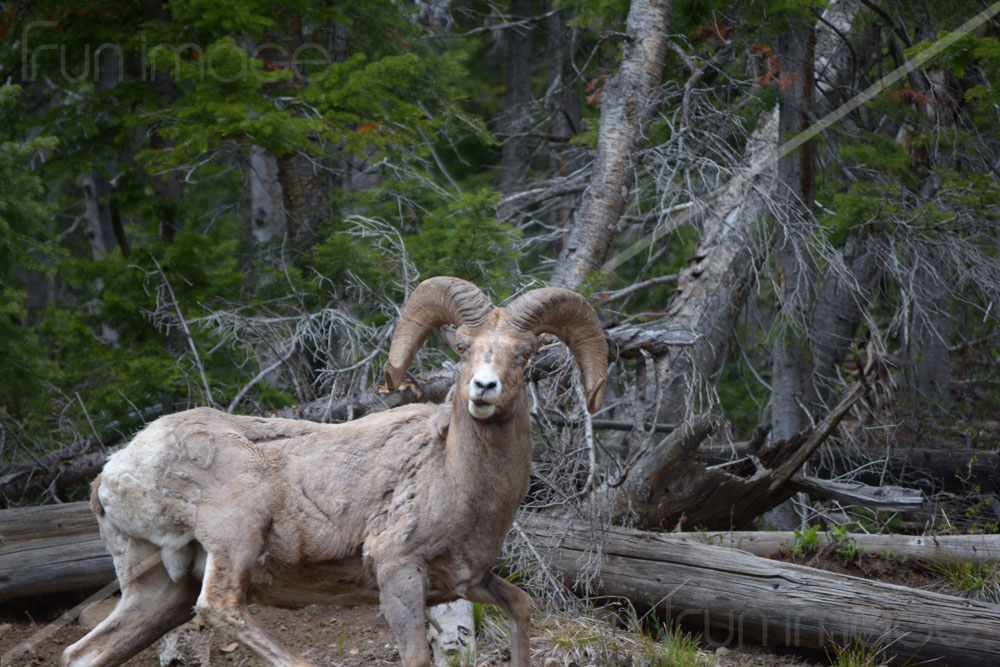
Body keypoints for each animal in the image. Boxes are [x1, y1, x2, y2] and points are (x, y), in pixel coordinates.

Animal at [66, 276, 608, 667]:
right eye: (463, 348)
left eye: (524, 353)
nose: (483, 388)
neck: (455, 476)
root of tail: (112, 472)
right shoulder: (399, 574)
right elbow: (416, 656)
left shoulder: (466, 581)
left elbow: (519, 606)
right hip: (236, 535)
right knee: (220, 608)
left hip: (159, 591)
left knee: (84, 653)